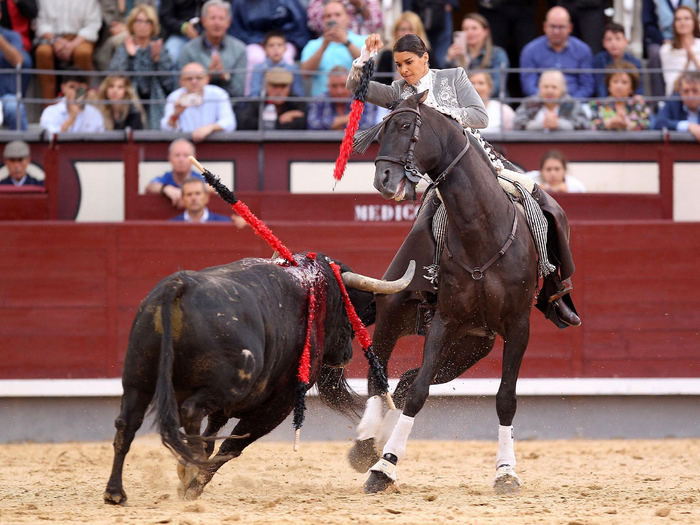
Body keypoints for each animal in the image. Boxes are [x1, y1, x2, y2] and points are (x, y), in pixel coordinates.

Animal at [350, 91, 539, 495]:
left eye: (406, 125)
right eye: (381, 130)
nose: (383, 179)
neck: (483, 231)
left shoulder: (518, 326)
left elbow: (506, 398)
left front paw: (506, 472)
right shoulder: (445, 320)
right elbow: (419, 392)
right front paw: (384, 468)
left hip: (470, 347)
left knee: (403, 383)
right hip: (394, 313)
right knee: (381, 377)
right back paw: (366, 445)